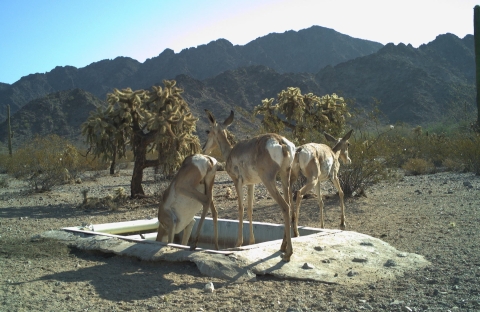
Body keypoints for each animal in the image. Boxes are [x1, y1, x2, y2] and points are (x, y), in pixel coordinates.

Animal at [202, 109, 296, 260]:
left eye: (208, 131)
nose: (203, 148)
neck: (231, 151)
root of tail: (281, 142)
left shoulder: (237, 182)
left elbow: (241, 208)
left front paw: (238, 243)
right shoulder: (251, 184)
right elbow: (250, 209)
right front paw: (251, 241)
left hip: (269, 181)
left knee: (285, 206)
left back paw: (288, 253)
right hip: (284, 178)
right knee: (290, 206)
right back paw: (282, 247)